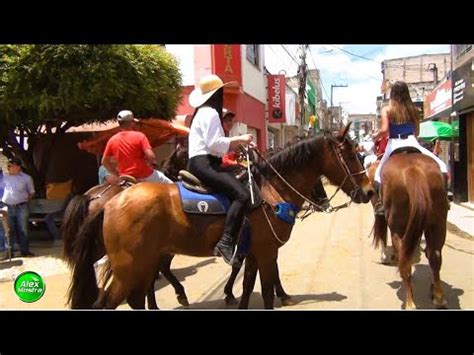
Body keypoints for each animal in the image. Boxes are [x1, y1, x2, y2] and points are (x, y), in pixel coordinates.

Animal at [65, 124, 374, 308]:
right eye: (351, 154)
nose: (369, 191)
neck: (272, 190)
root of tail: (110, 201)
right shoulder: (266, 251)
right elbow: (267, 288)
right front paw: (280, 295)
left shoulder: (253, 252)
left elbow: (247, 286)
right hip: (129, 267)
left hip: (142, 262)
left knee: (139, 296)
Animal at [370, 153, 448, 312]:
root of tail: (413, 171)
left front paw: (387, 256)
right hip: (438, 224)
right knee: (435, 255)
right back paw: (439, 298)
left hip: (398, 228)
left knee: (405, 261)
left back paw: (410, 303)